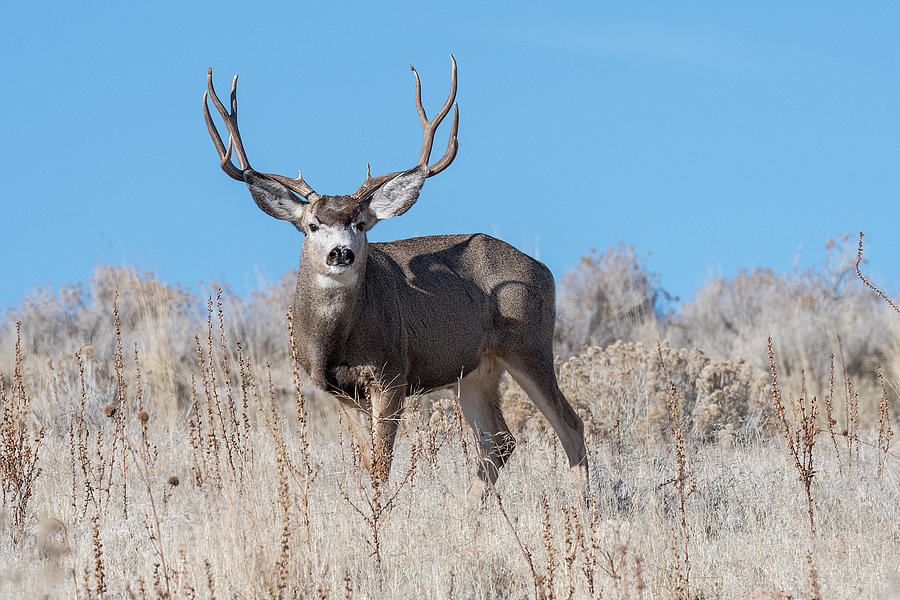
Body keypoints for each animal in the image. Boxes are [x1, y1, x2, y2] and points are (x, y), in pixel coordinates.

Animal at [201, 56, 588, 500]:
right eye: (313, 225)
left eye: (361, 223)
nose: (341, 252)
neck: (335, 342)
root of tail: (544, 270)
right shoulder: (340, 390)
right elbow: (368, 463)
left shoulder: (392, 373)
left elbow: (382, 467)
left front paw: (379, 514)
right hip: (474, 369)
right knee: (498, 441)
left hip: (529, 342)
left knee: (570, 424)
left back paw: (586, 505)